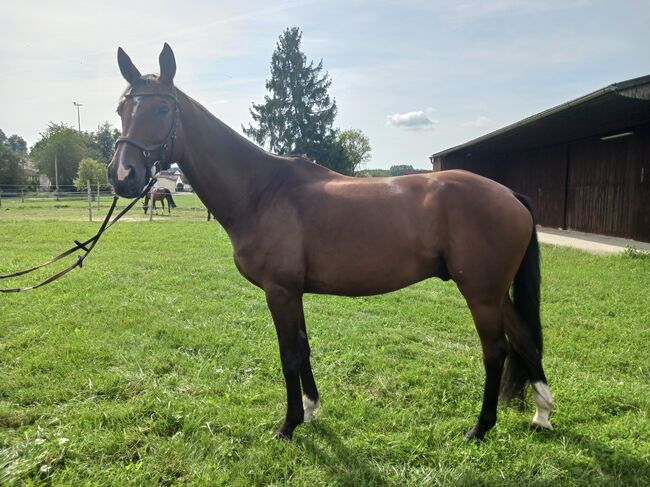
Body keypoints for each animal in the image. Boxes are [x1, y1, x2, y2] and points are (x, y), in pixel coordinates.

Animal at [106, 44, 552, 442]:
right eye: (122, 110)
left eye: (162, 109)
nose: (123, 175)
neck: (262, 190)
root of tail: (509, 194)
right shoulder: (293, 292)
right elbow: (302, 348)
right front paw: (310, 409)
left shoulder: (280, 291)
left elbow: (288, 355)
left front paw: (288, 425)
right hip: (494, 292)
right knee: (525, 340)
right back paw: (542, 413)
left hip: (480, 293)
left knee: (496, 350)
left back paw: (480, 427)